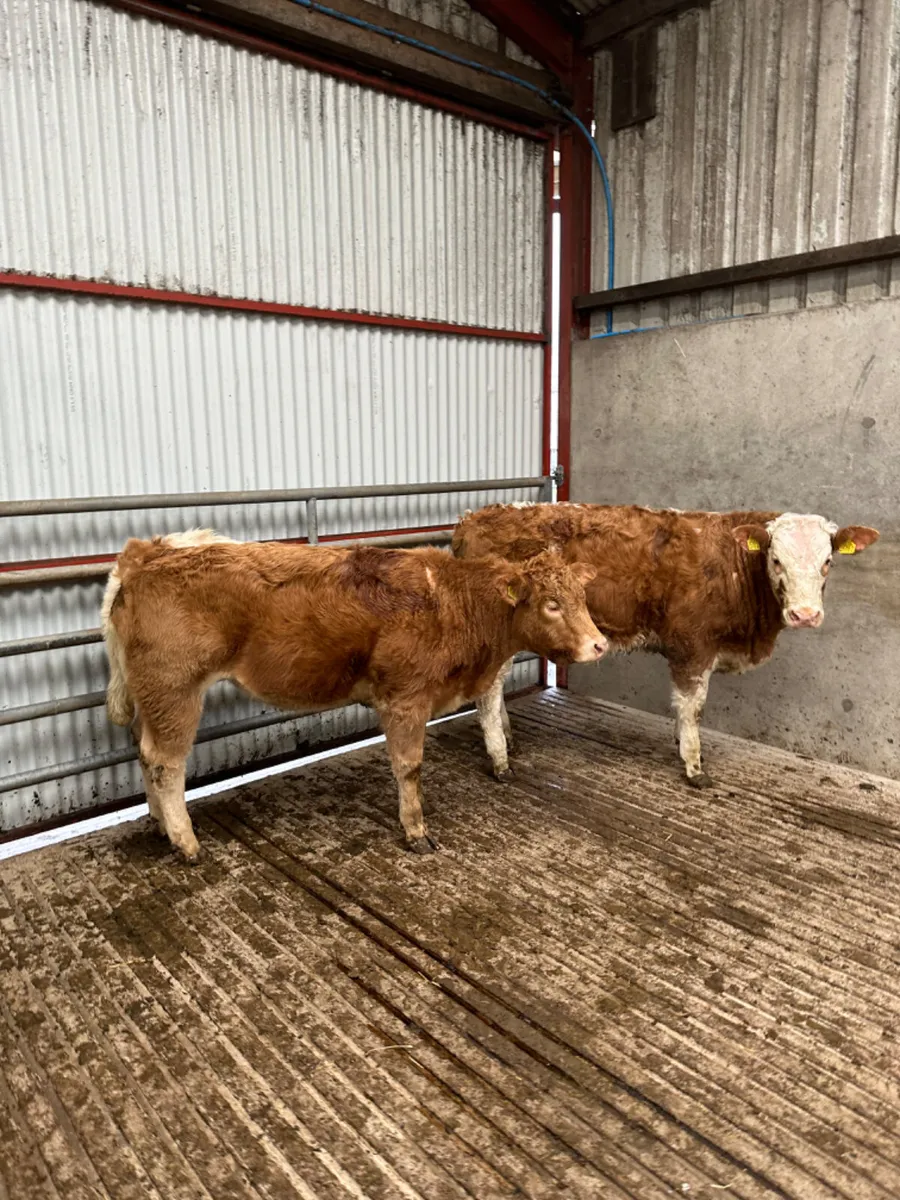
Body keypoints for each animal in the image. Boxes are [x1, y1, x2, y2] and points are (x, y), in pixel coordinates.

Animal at [102, 530, 606, 861]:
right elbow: (409, 768)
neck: (453, 602)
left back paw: (160, 826)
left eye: (582, 598)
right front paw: (415, 830)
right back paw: (186, 842)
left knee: (145, 754)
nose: (600, 645)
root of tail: (146, 554)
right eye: (551, 604)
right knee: (166, 764)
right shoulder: (405, 699)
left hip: (154, 698)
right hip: (175, 691)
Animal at [452, 503, 879, 787]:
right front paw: (693, 763)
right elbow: (693, 707)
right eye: (776, 560)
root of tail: (474, 517)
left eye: (828, 562)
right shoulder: (693, 646)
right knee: (488, 693)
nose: (805, 614)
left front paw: (681, 742)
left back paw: (508, 738)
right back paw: (500, 759)